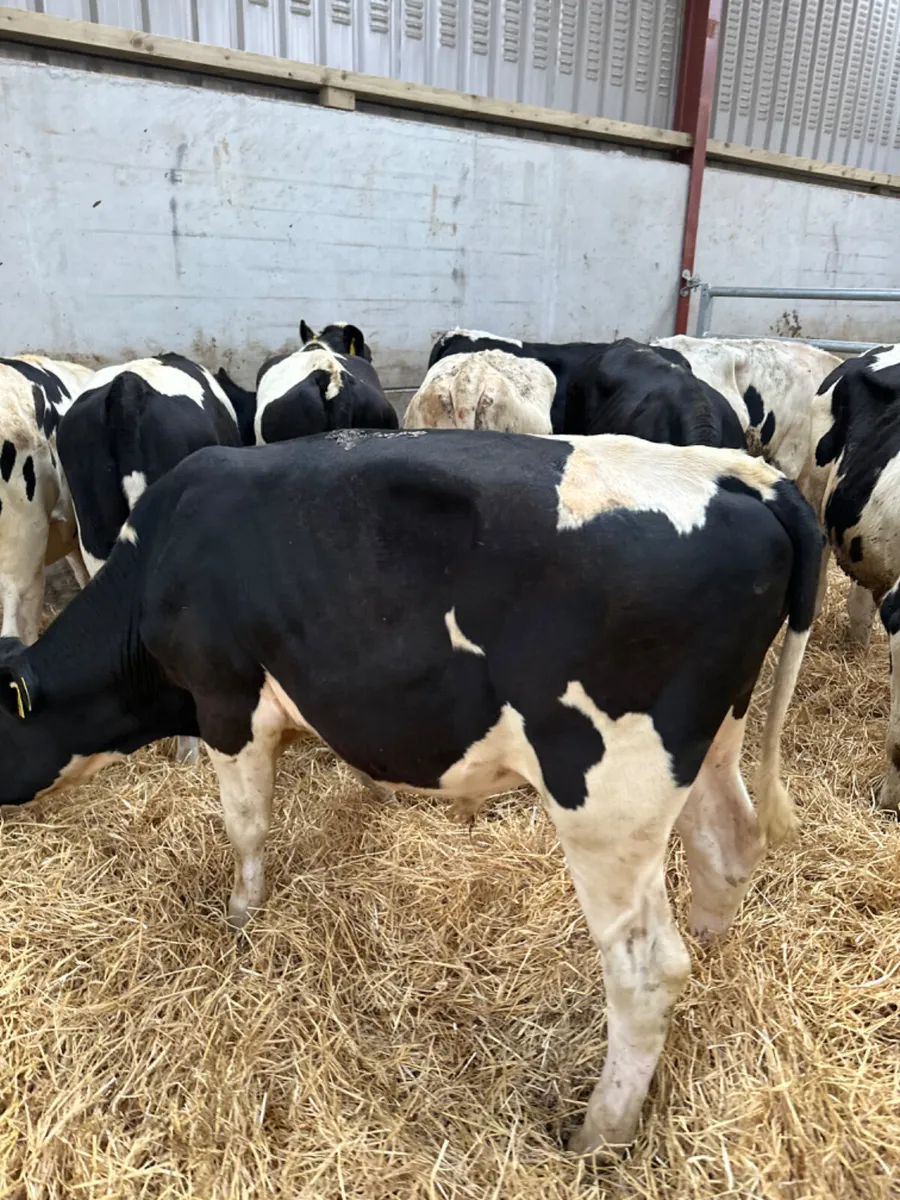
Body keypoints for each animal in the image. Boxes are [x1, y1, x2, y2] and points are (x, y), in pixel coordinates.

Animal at [0, 427, 820, 1153]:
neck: (159, 560)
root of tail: (739, 474)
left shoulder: (226, 703)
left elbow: (247, 823)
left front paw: (239, 917)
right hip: (712, 743)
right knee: (726, 849)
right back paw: (712, 956)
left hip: (609, 796)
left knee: (645, 971)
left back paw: (597, 1134)